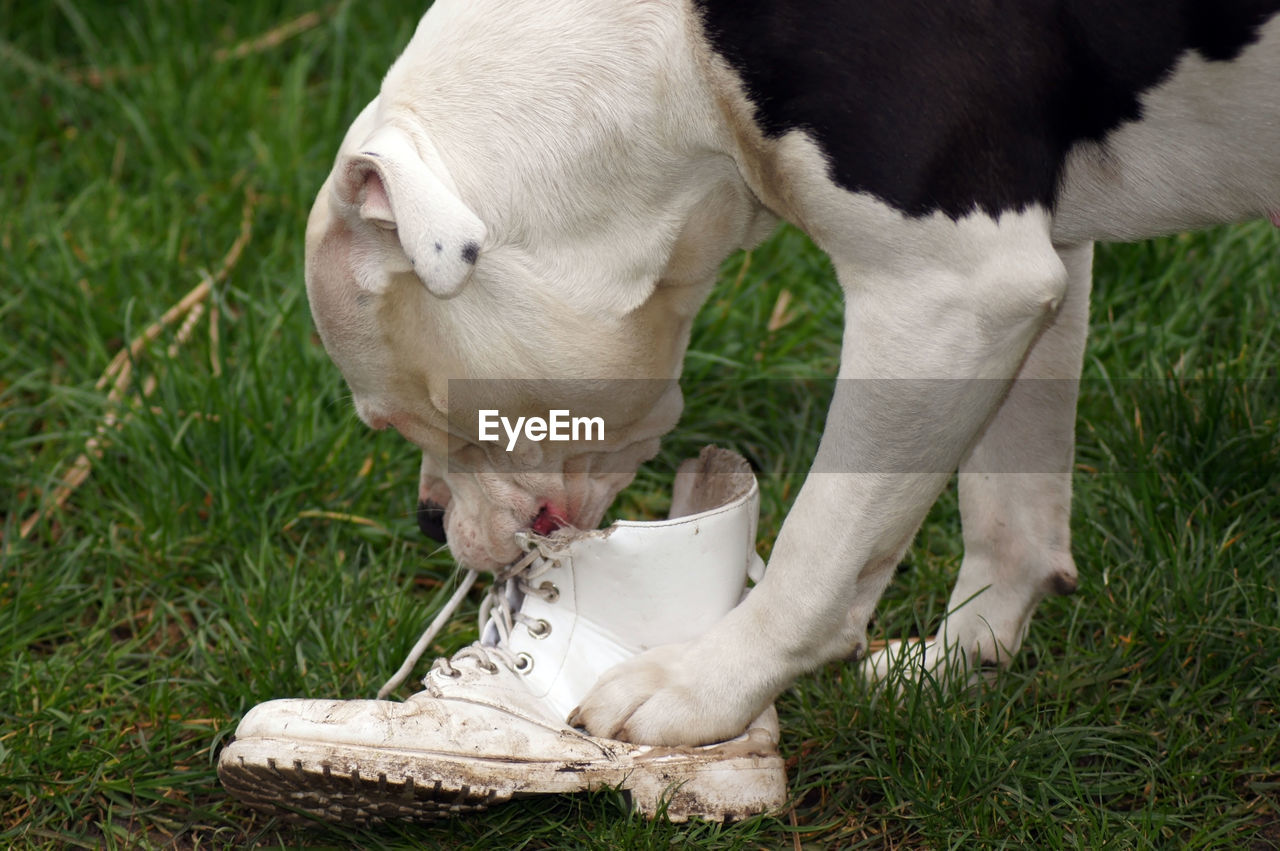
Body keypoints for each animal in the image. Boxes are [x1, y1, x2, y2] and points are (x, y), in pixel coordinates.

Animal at [302, 0, 1280, 742]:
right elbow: (1011, 515)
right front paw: (960, 662)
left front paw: (706, 686)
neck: (669, 49)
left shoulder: (947, 291)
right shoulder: (1025, 277)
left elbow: (822, 541)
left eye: (393, 416)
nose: (428, 522)